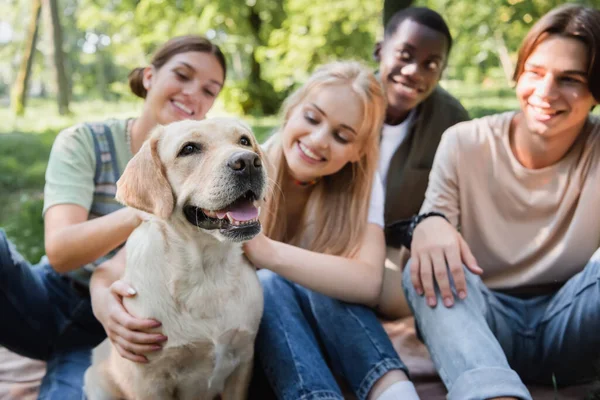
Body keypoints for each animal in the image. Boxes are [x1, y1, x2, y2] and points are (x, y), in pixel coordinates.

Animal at [83, 119, 266, 400]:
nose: (248, 162)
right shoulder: (150, 381)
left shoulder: (243, 359)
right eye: (188, 149)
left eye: (244, 141)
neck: (207, 273)